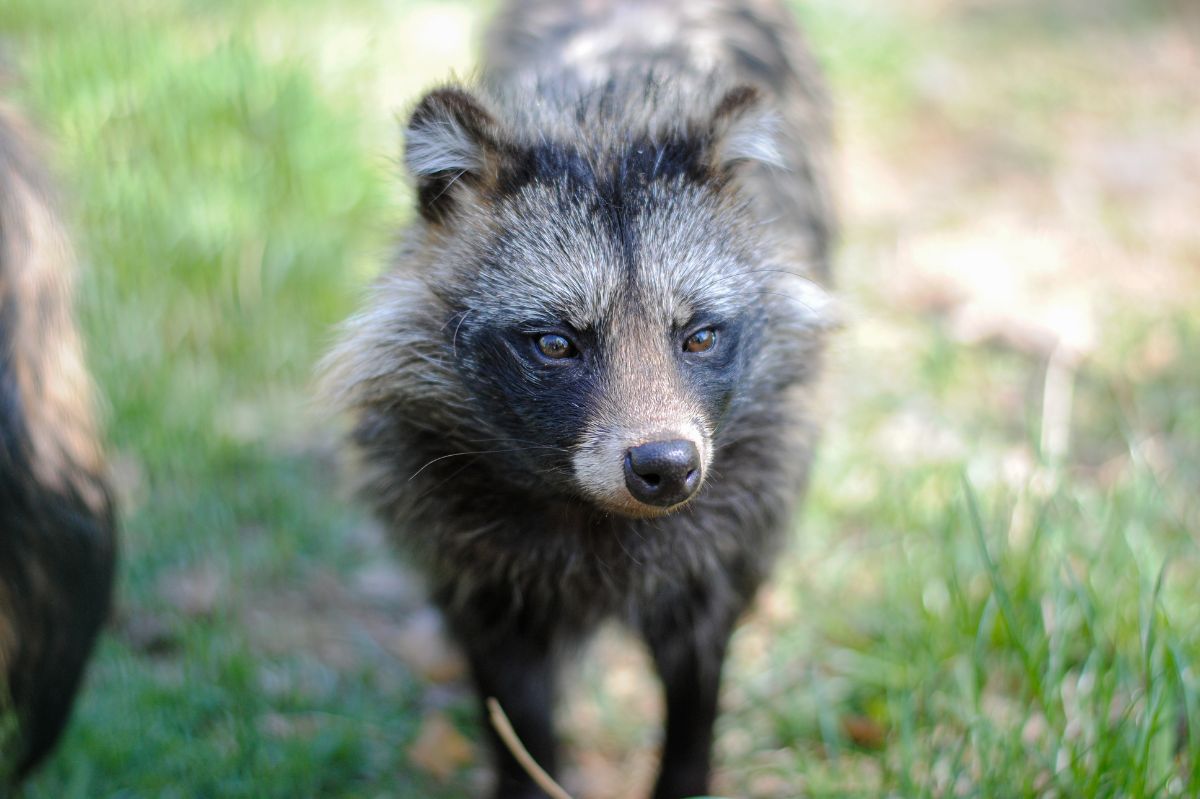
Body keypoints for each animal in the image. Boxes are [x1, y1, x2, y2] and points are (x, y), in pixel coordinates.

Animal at [326, 3, 835, 791]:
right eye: (556, 343)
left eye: (698, 336)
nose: (666, 466)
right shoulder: (473, 565)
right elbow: (515, 717)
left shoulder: (721, 545)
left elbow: (697, 691)